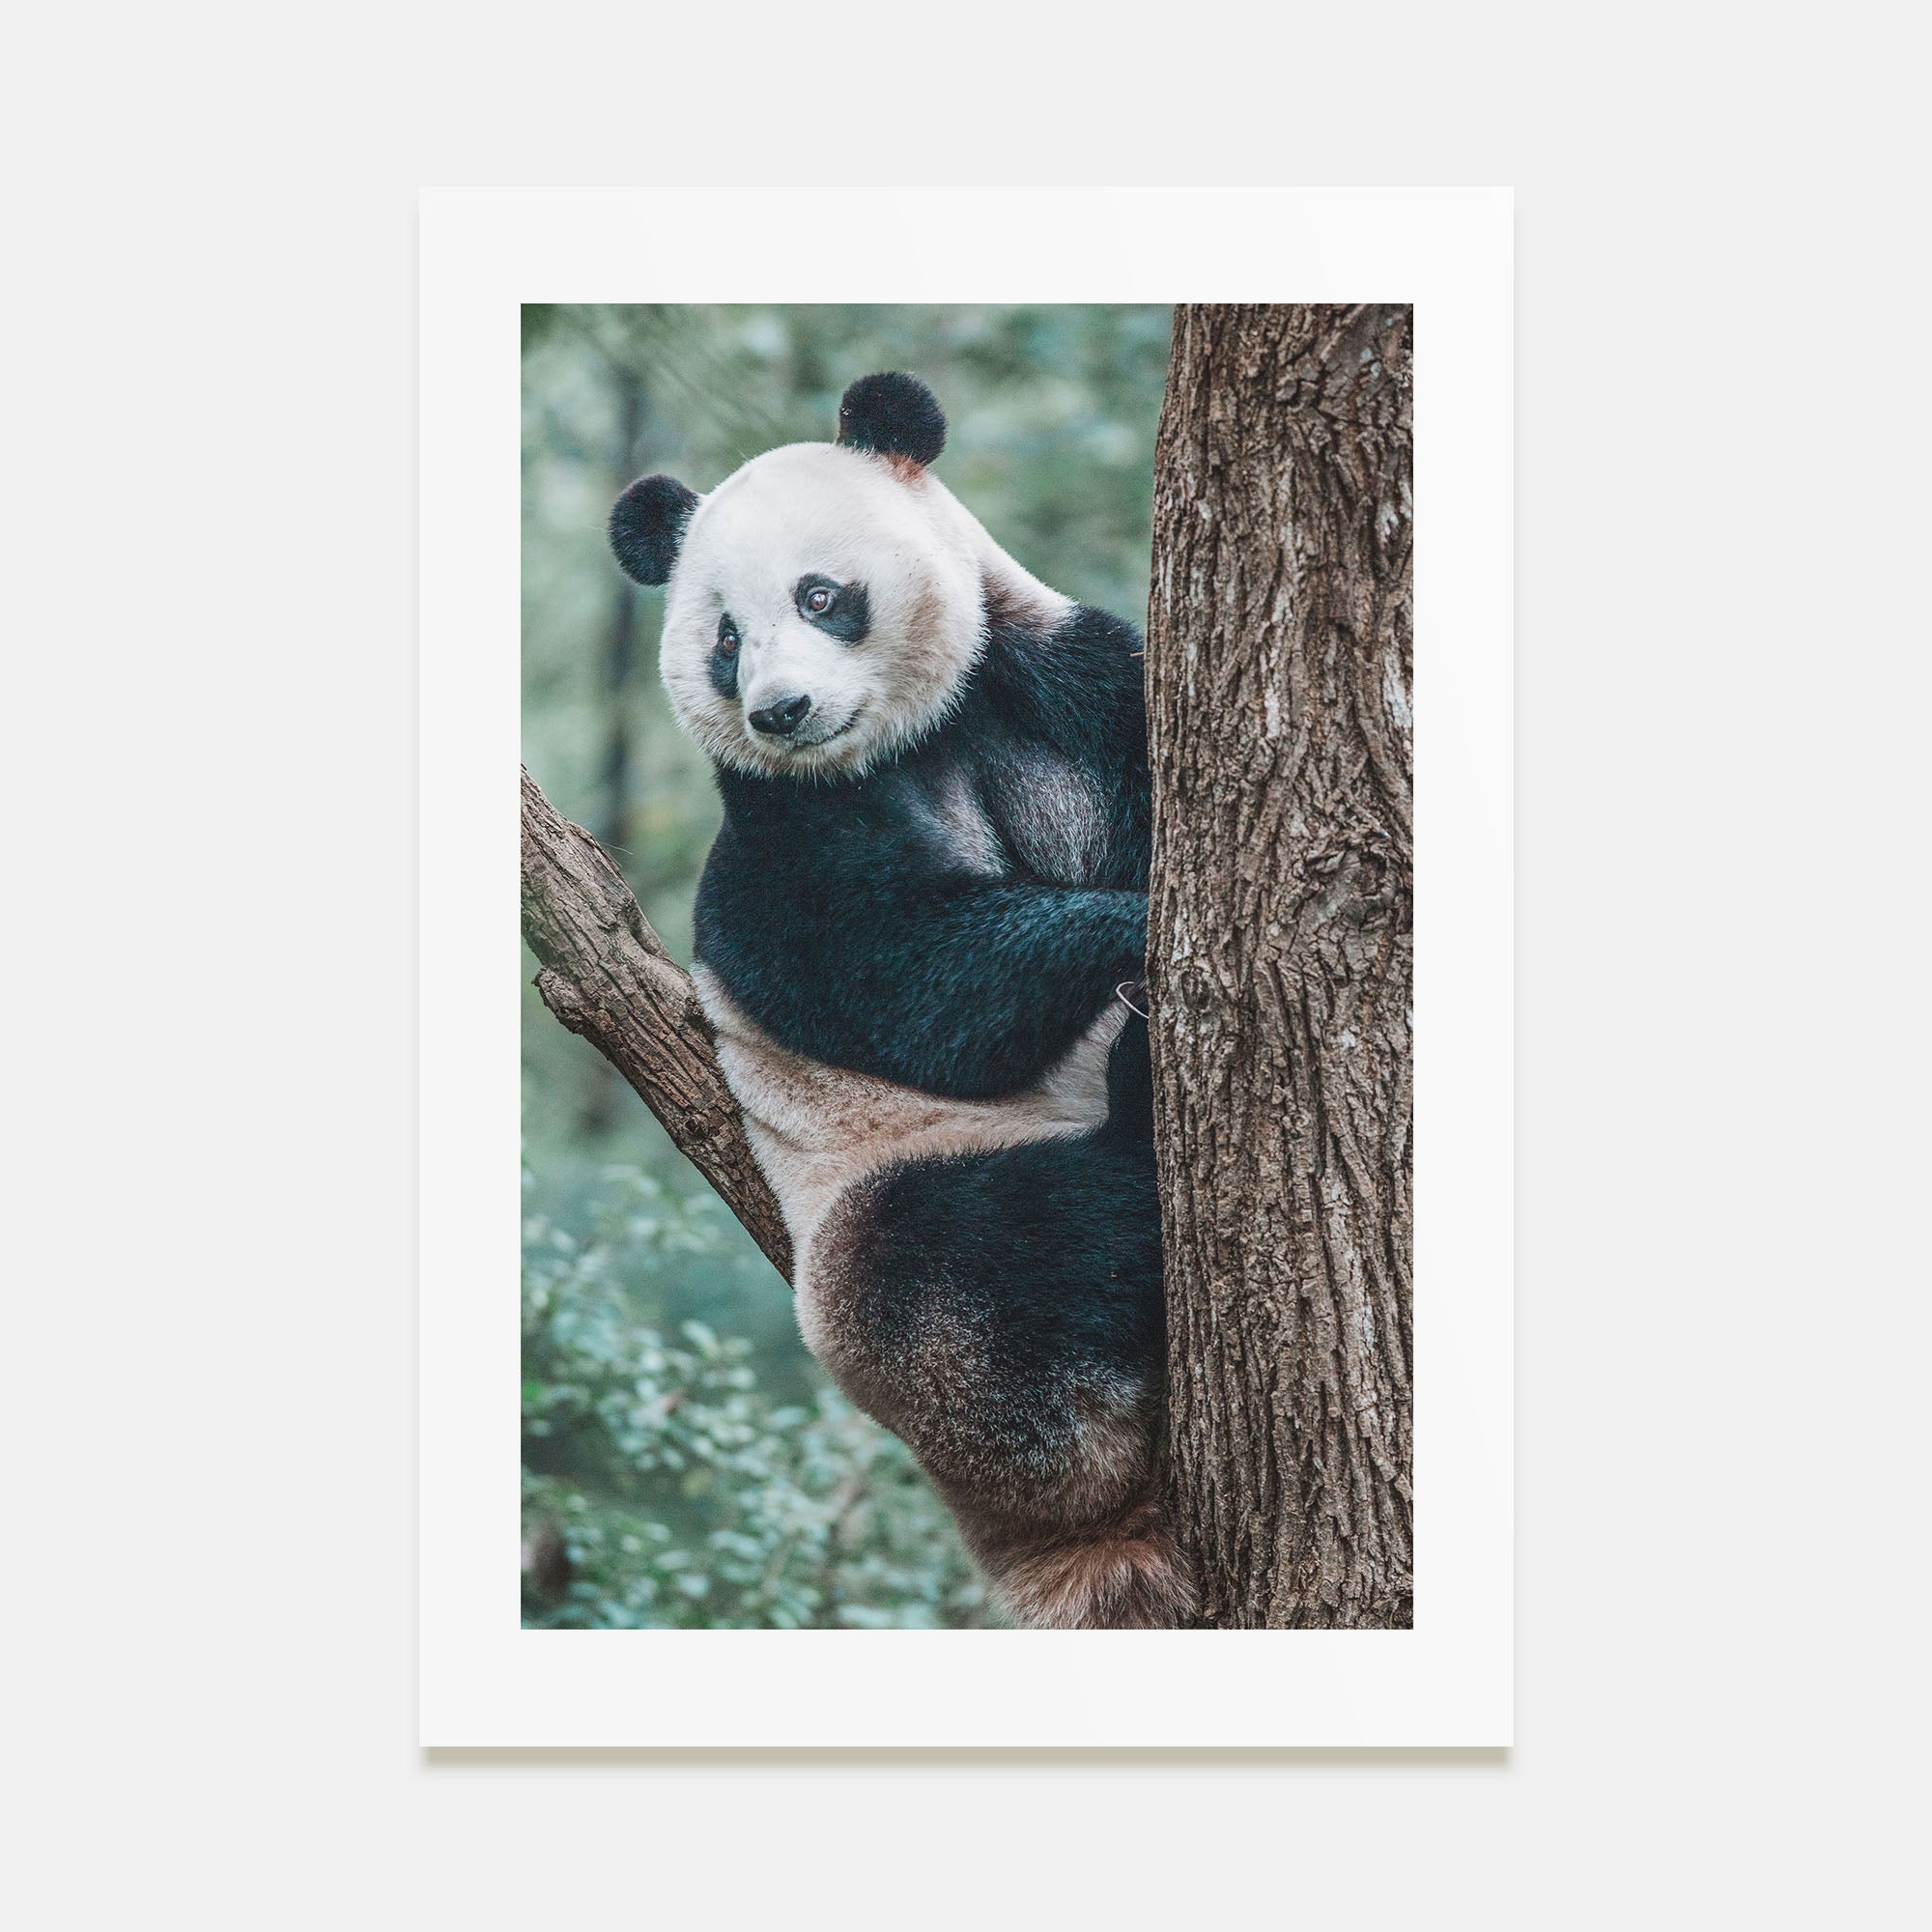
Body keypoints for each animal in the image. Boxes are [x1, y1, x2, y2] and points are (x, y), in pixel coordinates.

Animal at [609, 372, 1193, 1629]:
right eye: (723, 638)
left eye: (819, 595)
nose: (780, 710)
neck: (912, 738)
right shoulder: (780, 842)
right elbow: (913, 986)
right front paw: (1130, 928)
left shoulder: (1064, 686)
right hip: (880, 1249)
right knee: (984, 1256)